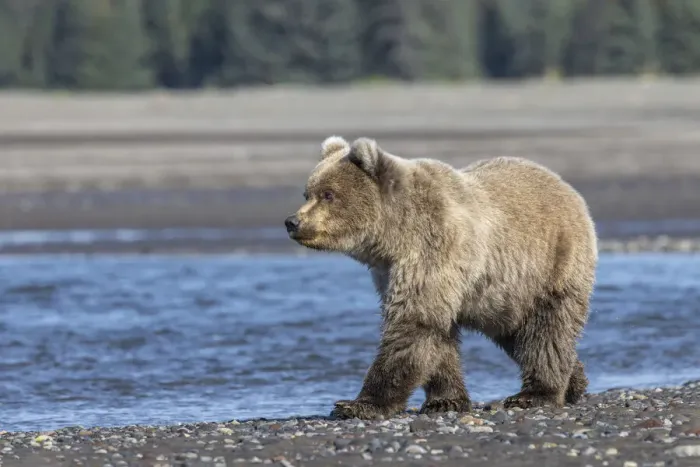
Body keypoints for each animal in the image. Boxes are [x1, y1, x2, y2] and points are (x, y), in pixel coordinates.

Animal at [284, 135, 598, 419]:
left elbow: (412, 326)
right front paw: (445, 400)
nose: (292, 222)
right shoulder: (390, 272)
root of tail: (566, 187)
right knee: (517, 333)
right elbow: (437, 336)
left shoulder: (434, 249)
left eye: (328, 194)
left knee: (545, 331)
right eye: (307, 193)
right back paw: (574, 382)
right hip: (501, 296)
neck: (393, 236)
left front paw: (357, 404)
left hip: (549, 266)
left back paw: (535, 394)